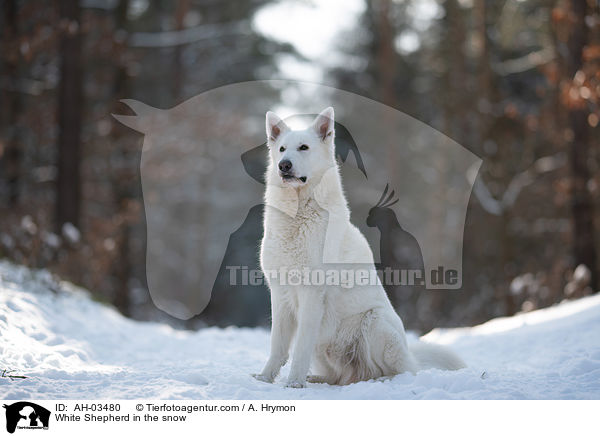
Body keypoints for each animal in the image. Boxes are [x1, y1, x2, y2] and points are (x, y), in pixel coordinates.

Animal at [253, 107, 464, 386]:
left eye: (303, 147)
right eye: (282, 149)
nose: (283, 165)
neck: (297, 215)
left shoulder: (311, 294)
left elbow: (299, 348)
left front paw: (293, 383)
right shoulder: (280, 293)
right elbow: (277, 346)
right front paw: (265, 378)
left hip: (375, 323)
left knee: (397, 372)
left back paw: (378, 381)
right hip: (327, 348)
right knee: (341, 377)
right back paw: (318, 379)